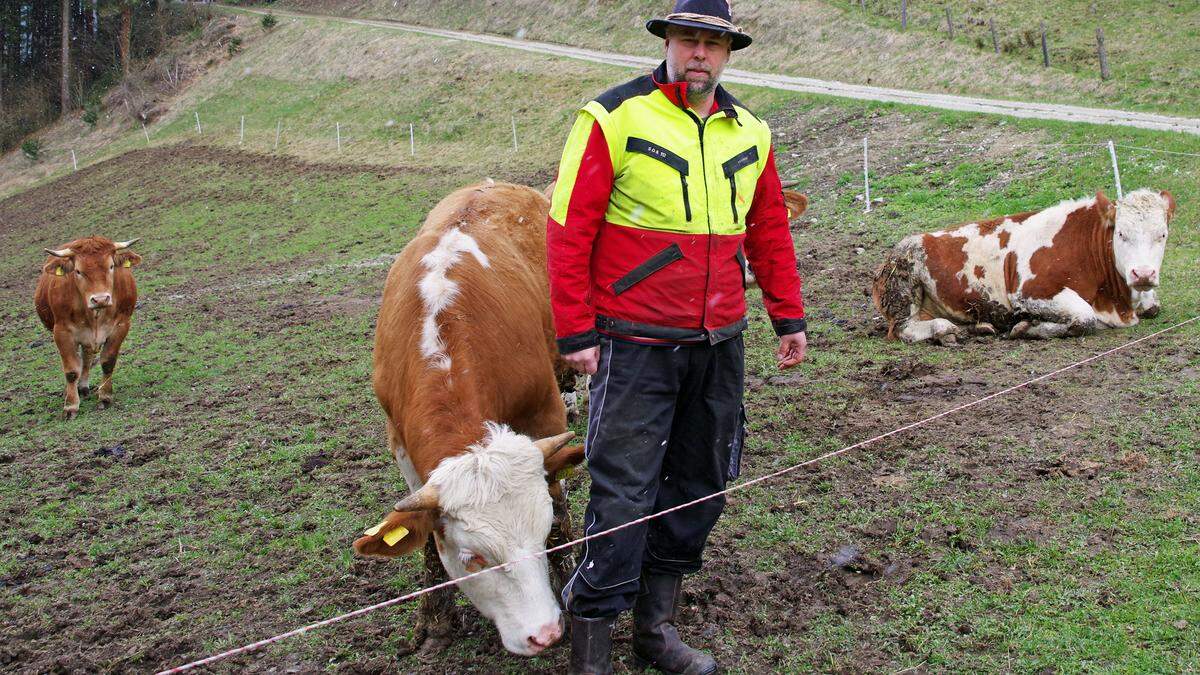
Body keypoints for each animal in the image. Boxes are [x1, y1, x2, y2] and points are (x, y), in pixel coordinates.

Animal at [34, 235, 142, 415]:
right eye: (78, 271)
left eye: (111, 266)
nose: (100, 299)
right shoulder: (62, 332)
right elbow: (71, 370)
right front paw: (71, 405)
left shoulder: (121, 326)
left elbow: (108, 362)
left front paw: (105, 396)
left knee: (87, 356)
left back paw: (83, 386)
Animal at [350, 181, 585, 653]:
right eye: (473, 557)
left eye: (540, 533)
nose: (545, 633)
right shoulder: (401, 444)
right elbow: (425, 536)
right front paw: (435, 621)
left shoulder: (543, 413)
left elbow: (560, 505)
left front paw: (568, 579)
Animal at [873, 187, 1171, 341]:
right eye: (1121, 233)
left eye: (1163, 234)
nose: (1143, 274)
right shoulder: (1030, 292)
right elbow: (1085, 318)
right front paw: (1029, 326)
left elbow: (1153, 306)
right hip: (904, 288)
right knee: (903, 329)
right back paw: (944, 330)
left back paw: (977, 327)